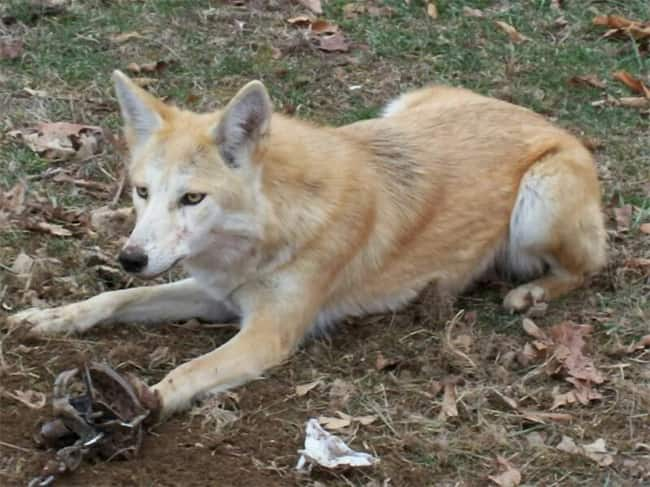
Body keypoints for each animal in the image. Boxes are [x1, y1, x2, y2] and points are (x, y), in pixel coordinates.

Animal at [11, 70, 608, 418]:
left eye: (192, 198)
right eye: (141, 192)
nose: (130, 258)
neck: (275, 223)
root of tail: (551, 123)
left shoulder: (267, 334)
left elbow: (191, 371)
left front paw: (144, 402)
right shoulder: (217, 295)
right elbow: (115, 299)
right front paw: (52, 318)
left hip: (537, 205)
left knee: (589, 268)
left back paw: (530, 293)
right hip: (400, 107)